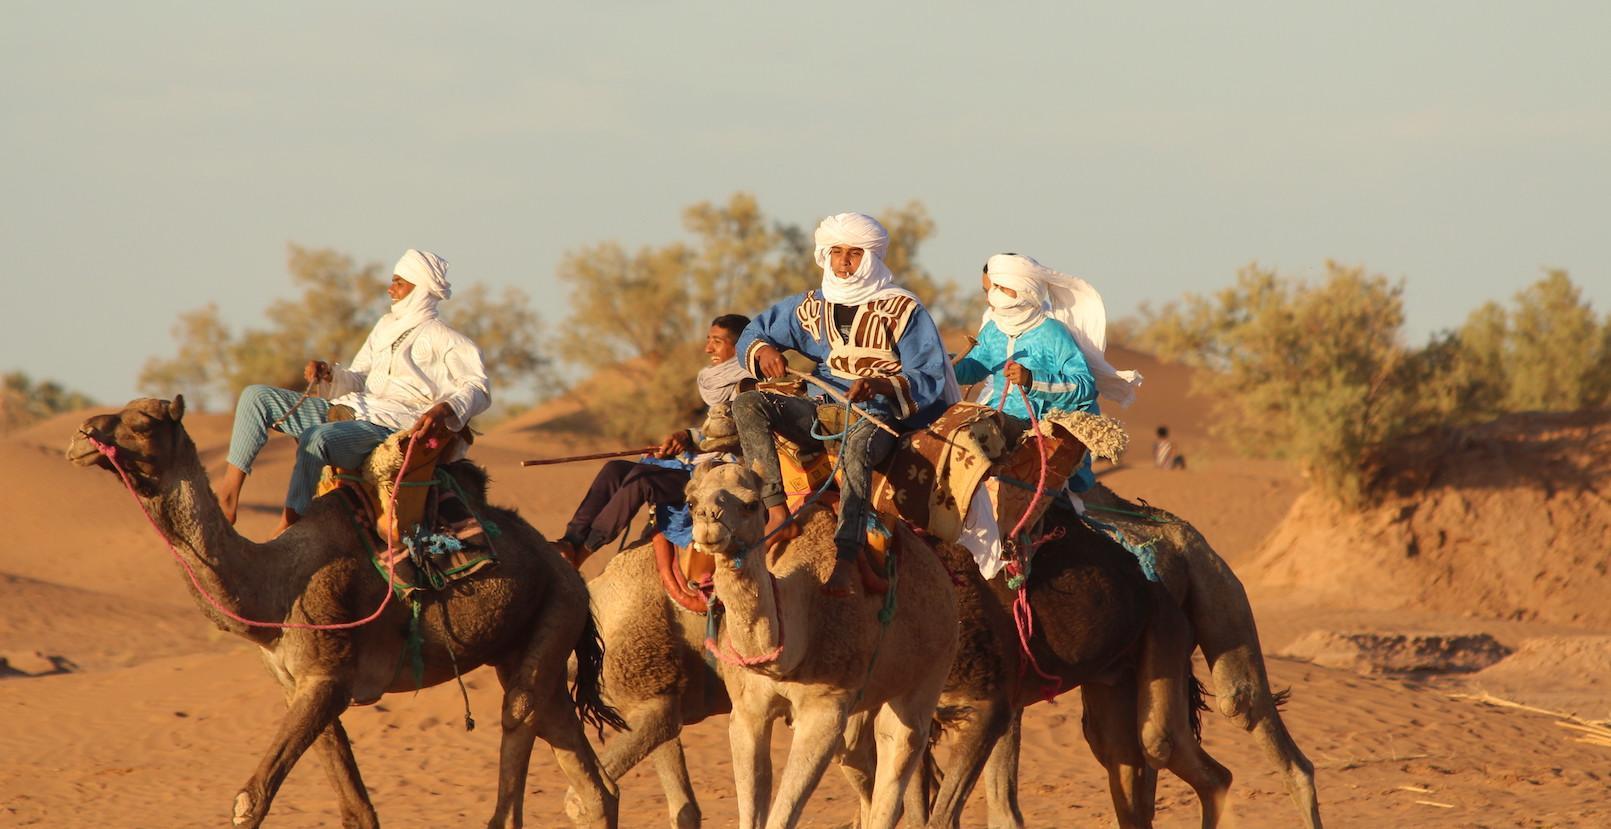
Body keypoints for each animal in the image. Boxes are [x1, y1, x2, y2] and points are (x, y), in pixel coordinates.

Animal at [72, 397, 631, 829]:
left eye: (143, 422)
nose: (81, 436)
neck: (273, 589)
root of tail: (566, 564)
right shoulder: (300, 685)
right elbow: (356, 810)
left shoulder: (329, 678)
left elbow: (250, 798)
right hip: (535, 641)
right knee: (592, 783)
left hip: (557, 608)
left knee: (517, 727)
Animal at [683, 463, 953, 824]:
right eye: (690, 501)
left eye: (751, 504)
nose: (708, 520)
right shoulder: (747, 711)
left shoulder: (824, 711)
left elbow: (781, 815)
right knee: (860, 759)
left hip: (931, 671)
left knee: (899, 747)